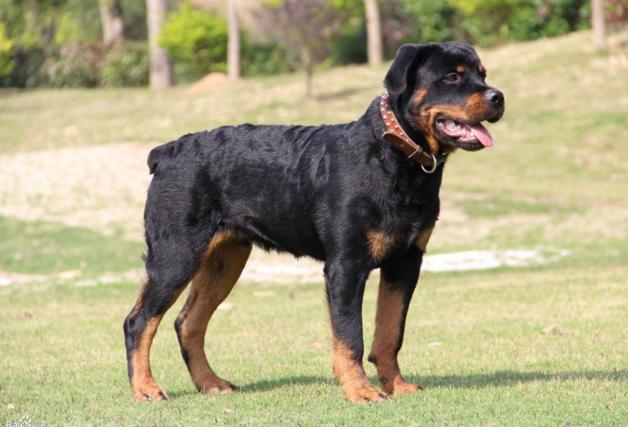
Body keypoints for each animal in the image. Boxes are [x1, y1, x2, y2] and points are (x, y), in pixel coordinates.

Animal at [123, 42, 505, 403]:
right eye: (452, 77)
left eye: (482, 74)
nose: (497, 96)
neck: (396, 157)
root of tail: (166, 152)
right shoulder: (346, 266)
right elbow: (350, 336)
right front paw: (360, 391)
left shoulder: (406, 261)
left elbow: (390, 331)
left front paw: (396, 385)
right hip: (176, 254)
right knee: (139, 321)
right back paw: (146, 388)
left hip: (225, 258)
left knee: (188, 322)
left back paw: (210, 383)